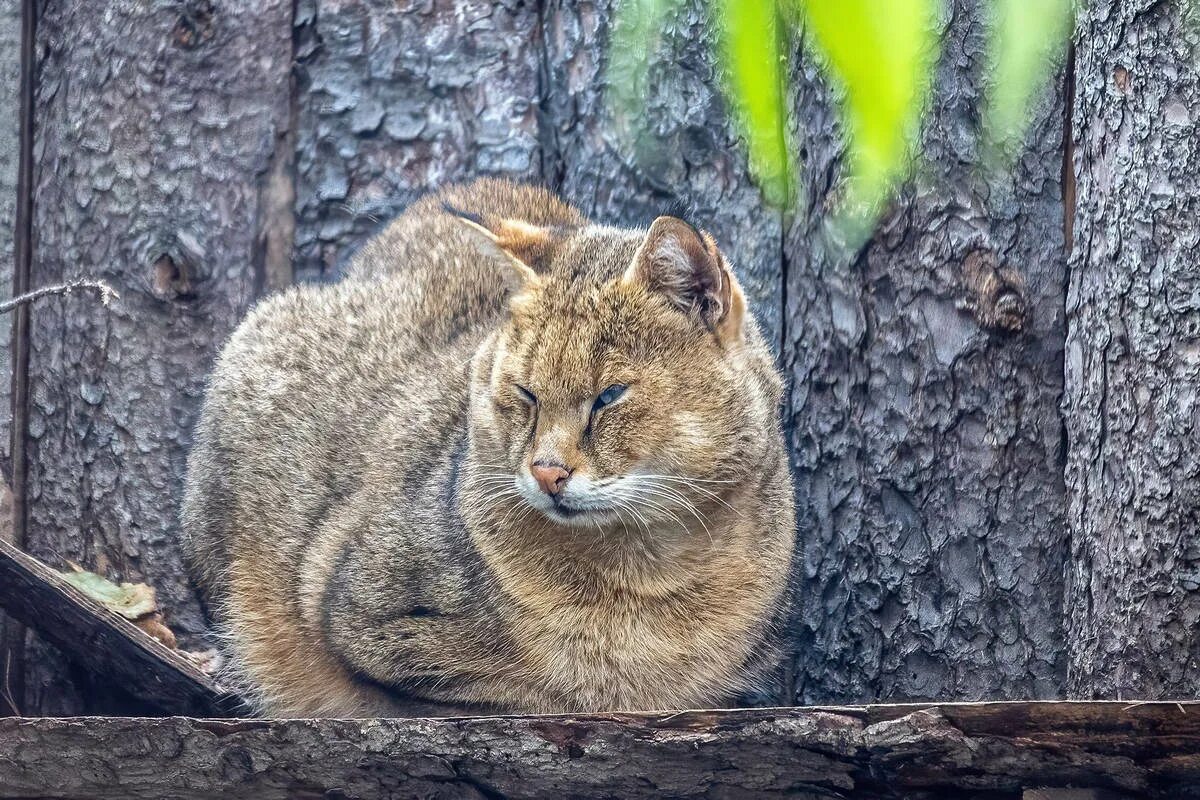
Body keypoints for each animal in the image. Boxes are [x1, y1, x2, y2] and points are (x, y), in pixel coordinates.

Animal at [180, 178, 796, 714]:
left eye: (609, 396)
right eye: (525, 393)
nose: (547, 472)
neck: (639, 576)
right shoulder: (356, 613)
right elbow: (519, 688)